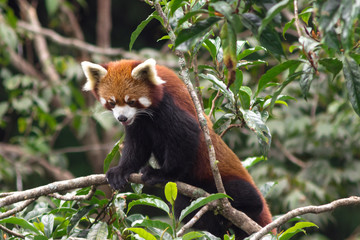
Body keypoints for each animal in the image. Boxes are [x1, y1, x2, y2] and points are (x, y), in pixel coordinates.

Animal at [81, 58, 272, 238]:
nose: (122, 118)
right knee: (183, 206)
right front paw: (122, 170)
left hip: (221, 184)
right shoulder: (138, 124)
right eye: (112, 102)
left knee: (244, 194)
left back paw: (249, 207)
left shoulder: (170, 105)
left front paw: (162, 173)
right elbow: (137, 147)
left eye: (132, 101)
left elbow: (186, 135)